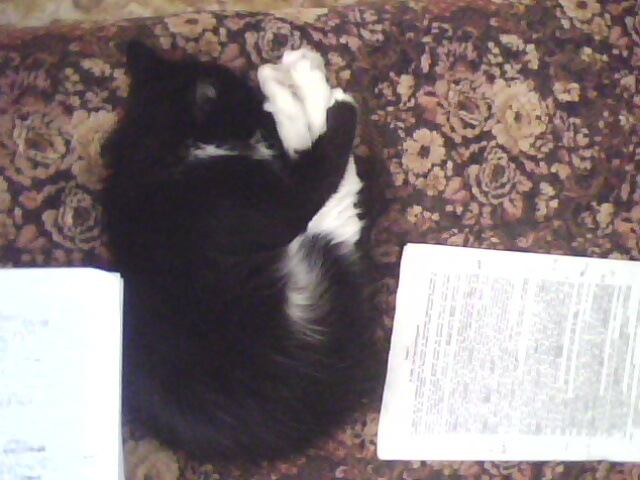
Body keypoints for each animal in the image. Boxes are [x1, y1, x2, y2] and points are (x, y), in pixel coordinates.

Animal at [100, 40, 383, 464]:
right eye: (242, 95)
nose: (258, 103)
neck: (160, 146)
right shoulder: (276, 206)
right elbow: (321, 166)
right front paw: (327, 102)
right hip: (316, 264)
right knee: (338, 201)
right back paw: (301, 83)